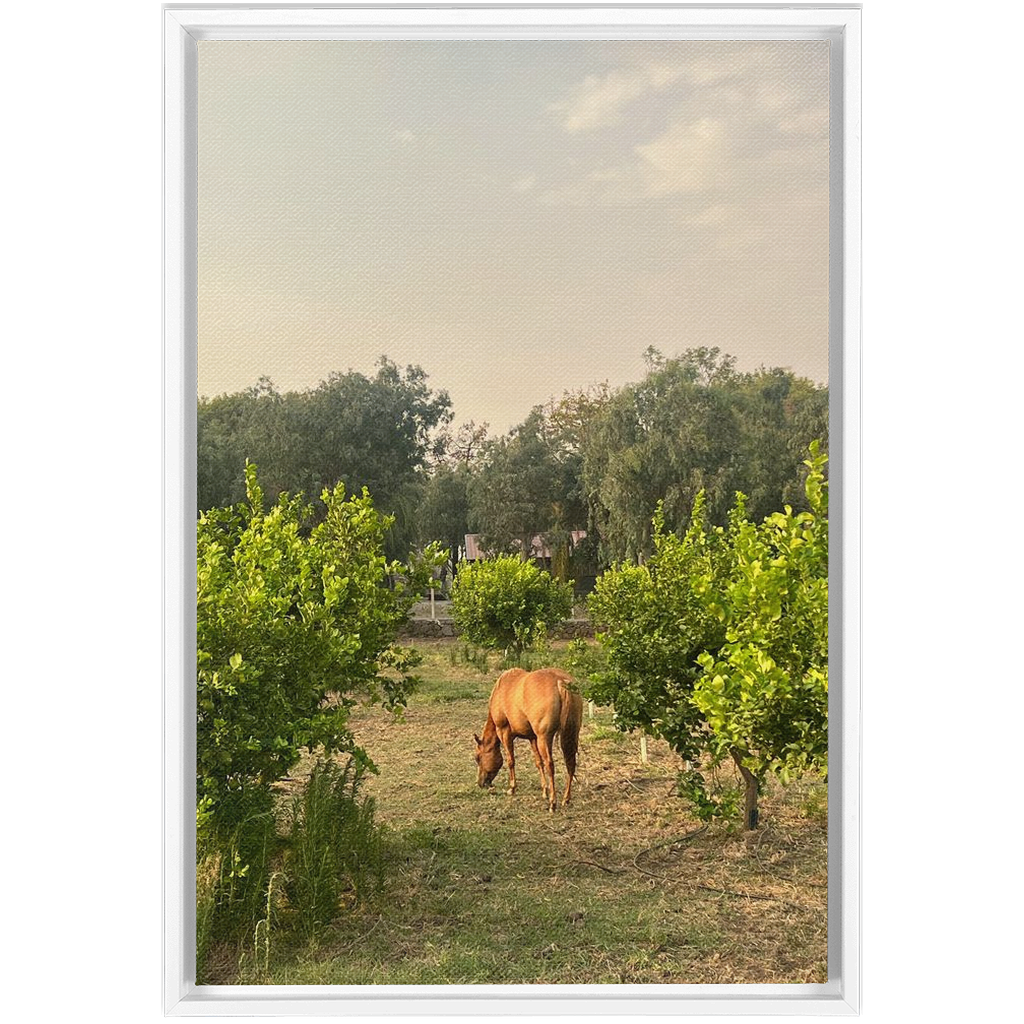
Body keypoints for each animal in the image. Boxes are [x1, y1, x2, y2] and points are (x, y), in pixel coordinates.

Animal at [473, 667, 585, 811]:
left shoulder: (504, 732)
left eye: (478, 758)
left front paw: (512, 788)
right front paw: (544, 791)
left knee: (550, 765)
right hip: (570, 735)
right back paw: (566, 799)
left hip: (544, 738)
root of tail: (560, 682)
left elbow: (511, 761)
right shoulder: (532, 738)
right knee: (570, 763)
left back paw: (553, 803)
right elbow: (538, 762)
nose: (481, 783)